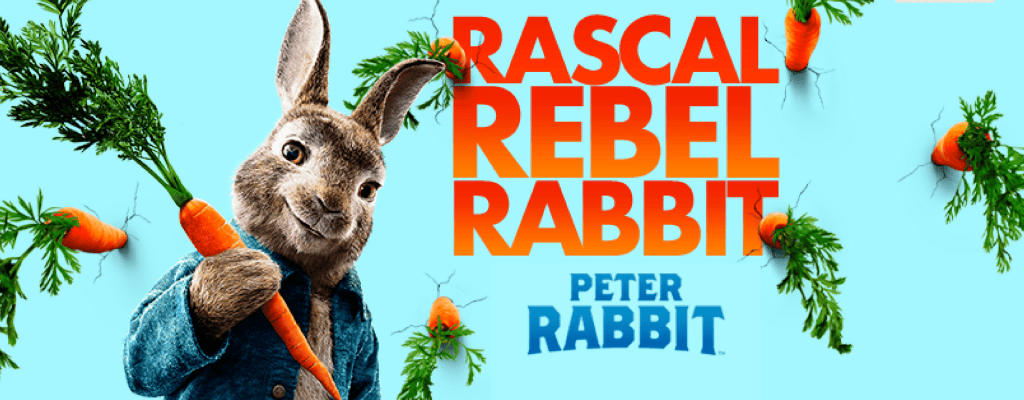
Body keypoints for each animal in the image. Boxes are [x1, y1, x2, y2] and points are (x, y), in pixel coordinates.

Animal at [123, 0, 443, 398]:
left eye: (368, 190)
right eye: (292, 151)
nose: (329, 206)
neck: (313, 281)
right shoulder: (186, 273)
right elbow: (142, 346)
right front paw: (242, 278)